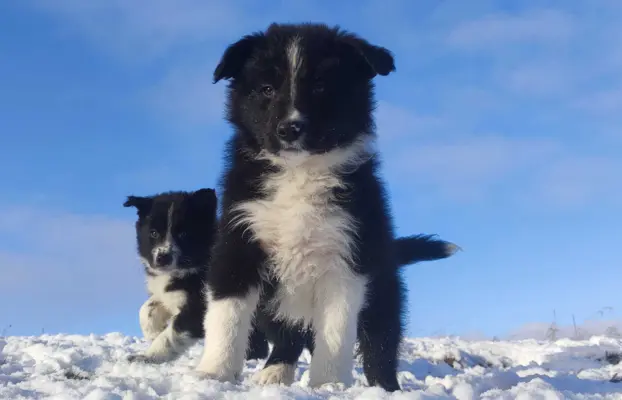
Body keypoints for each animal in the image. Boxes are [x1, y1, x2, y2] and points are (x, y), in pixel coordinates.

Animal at [123, 189, 270, 364]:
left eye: (183, 234)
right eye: (153, 233)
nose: (163, 258)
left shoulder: (198, 307)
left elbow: (172, 333)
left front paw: (150, 356)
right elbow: (147, 308)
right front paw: (152, 331)